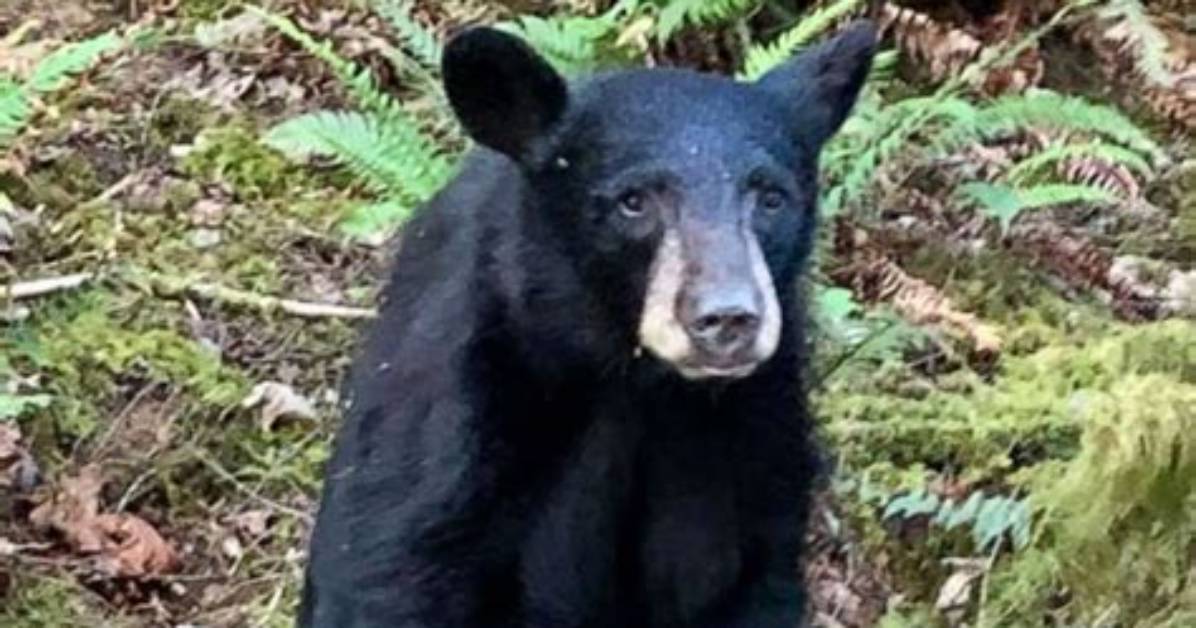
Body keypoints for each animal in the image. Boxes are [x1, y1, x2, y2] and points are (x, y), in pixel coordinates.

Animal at [299, 20, 877, 628]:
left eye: (770, 196)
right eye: (633, 201)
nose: (728, 318)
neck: (633, 377)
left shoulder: (757, 430)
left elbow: (746, 571)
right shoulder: (458, 405)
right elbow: (390, 564)